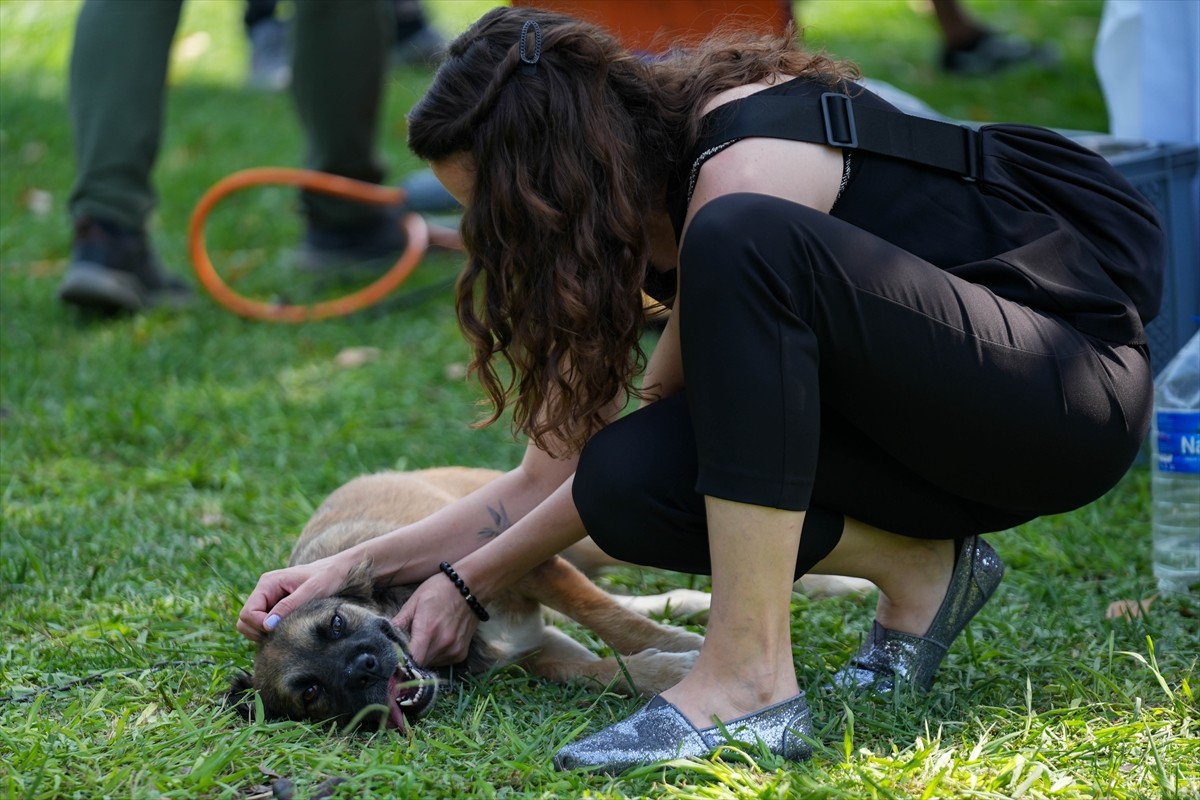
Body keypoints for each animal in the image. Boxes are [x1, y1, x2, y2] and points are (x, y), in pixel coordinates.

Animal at [228, 465, 705, 734]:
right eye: (310, 693)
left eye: (336, 623)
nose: (365, 670)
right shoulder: (535, 648)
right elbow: (597, 669)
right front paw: (660, 672)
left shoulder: (533, 566)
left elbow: (608, 618)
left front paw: (682, 653)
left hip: (584, 537)